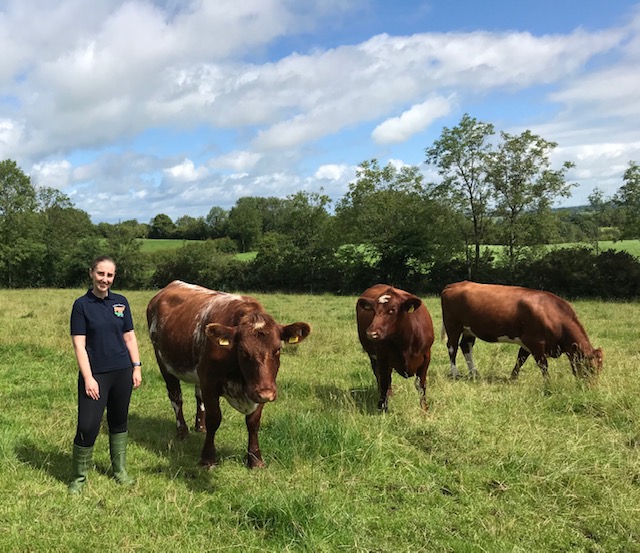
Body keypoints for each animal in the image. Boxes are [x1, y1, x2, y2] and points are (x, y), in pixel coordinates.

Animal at [148, 280, 312, 466]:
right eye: (242, 351)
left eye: (277, 349)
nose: (266, 393)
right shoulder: (210, 382)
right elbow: (214, 418)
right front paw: (208, 458)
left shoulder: (260, 385)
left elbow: (253, 422)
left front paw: (255, 460)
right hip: (163, 362)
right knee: (176, 397)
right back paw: (182, 431)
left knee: (198, 397)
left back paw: (200, 427)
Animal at [442, 280, 604, 380]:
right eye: (590, 368)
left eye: (599, 370)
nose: (591, 389)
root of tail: (453, 285)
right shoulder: (535, 342)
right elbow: (543, 365)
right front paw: (549, 384)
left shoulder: (527, 343)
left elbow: (520, 360)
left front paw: (512, 378)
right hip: (453, 326)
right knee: (452, 348)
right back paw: (455, 373)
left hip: (469, 330)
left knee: (466, 346)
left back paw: (474, 373)